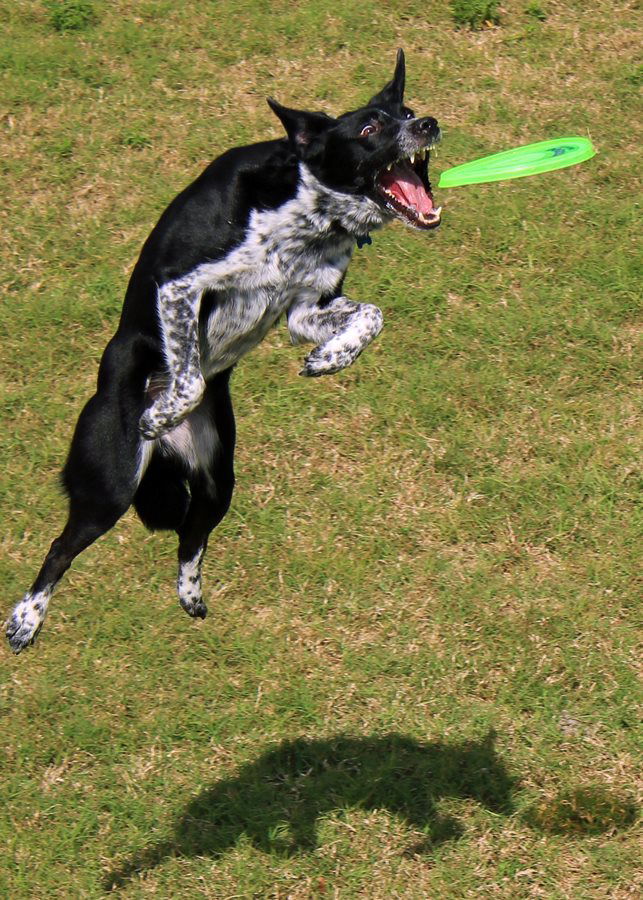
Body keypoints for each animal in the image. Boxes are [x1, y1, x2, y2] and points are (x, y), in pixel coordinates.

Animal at [5, 49, 440, 652]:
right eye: (371, 128)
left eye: (410, 111)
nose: (430, 125)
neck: (305, 210)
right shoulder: (178, 287)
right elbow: (188, 379)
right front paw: (160, 412)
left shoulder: (305, 309)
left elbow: (372, 316)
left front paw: (330, 359)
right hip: (110, 485)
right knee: (59, 549)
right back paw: (25, 619)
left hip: (218, 482)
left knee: (189, 540)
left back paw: (191, 597)